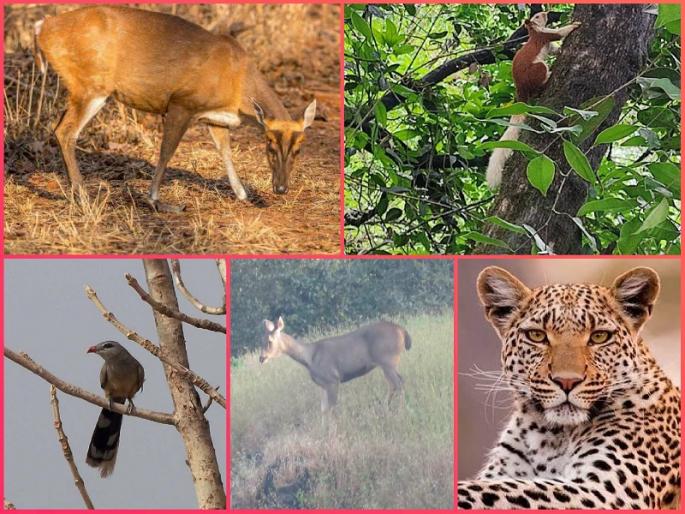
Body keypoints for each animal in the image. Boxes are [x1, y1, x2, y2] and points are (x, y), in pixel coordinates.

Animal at [458, 266, 680, 509]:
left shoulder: (608, 492)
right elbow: (495, 485)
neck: (549, 437)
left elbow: (496, 490)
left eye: (599, 336)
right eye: (537, 335)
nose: (567, 381)